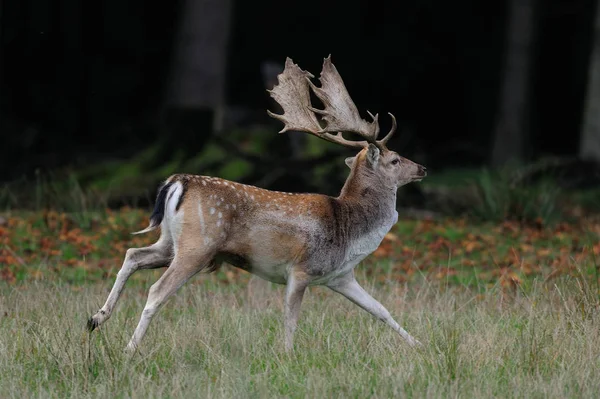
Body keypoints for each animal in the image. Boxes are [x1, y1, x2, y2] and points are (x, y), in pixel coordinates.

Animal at [88, 57, 426, 354]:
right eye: (395, 160)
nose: (422, 168)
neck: (350, 229)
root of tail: (177, 181)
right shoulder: (301, 269)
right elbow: (290, 319)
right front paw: (287, 355)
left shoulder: (340, 276)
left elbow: (380, 309)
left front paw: (419, 345)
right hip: (198, 245)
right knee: (156, 291)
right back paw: (129, 349)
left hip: (171, 241)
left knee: (133, 254)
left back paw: (96, 318)